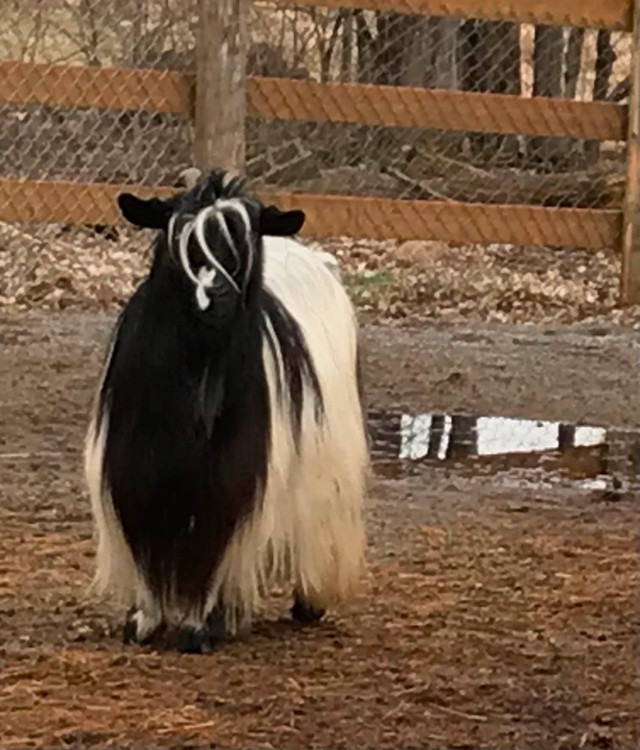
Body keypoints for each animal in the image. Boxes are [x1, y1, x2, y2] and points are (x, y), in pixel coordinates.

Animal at [82, 169, 368, 652]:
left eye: (243, 246)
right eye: (175, 242)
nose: (210, 300)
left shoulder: (237, 473)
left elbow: (220, 536)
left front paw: (203, 625)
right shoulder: (133, 468)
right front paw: (143, 619)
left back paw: (308, 600)